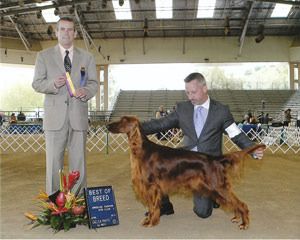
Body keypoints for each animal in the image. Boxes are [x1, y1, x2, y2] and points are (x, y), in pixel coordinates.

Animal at [107, 116, 264, 231]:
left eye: (123, 120)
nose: (107, 125)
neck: (142, 149)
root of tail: (215, 158)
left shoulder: (152, 186)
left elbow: (152, 207)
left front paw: (150, 222)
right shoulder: (155, 186)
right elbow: (152, 207)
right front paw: (150, 219)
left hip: (218, 186)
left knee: (241, 204)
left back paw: (244, 223)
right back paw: (237, 217)